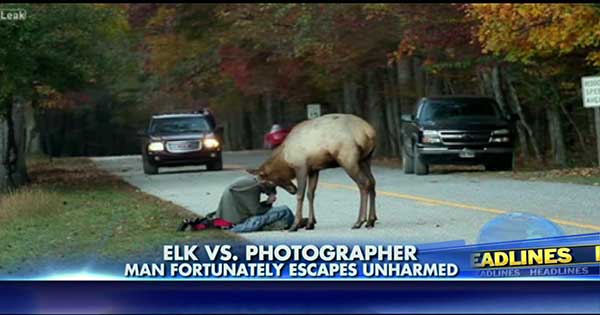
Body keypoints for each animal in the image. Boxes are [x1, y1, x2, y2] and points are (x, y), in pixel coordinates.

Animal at [247, 114, 378, 232]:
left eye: (264, 182)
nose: (292, 190)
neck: (285, 159)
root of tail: (369, 132)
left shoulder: (301, 167)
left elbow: (301, 195)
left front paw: (295, 225)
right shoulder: (314, 170)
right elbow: (311, 194)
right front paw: (310, 223)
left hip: (348, 159)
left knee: (364, 183)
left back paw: (359, 221)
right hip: (365, 159)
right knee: (372, 182)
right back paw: (371, 220)